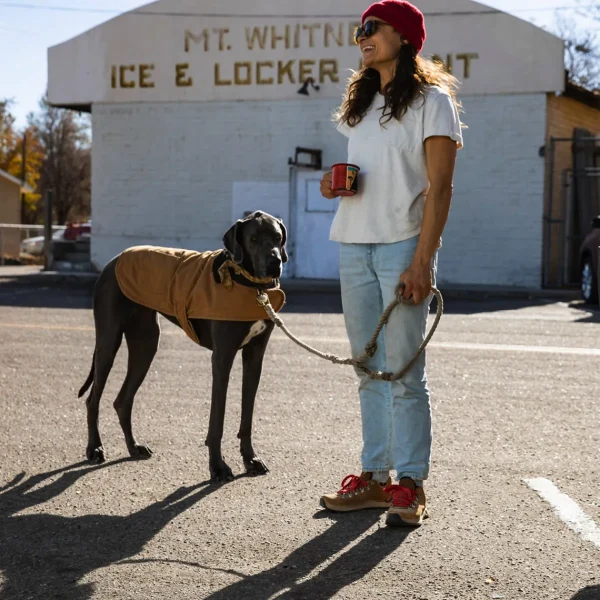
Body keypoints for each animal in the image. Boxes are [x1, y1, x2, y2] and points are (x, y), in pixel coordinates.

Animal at [78, 211, 290, 482]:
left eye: (277, 237)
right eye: (253, 239)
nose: (275, 262)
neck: (249, 284)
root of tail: (112, 261)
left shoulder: (255, 356)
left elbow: (247, 415)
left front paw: (250, 459)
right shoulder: (222, 357)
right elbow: (217, 419)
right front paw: (218, 467)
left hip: (146, 344)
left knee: (122, 400)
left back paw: (133, 446)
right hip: (108, 340)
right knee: (93, 399)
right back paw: (95, 448)